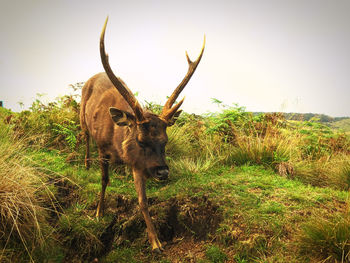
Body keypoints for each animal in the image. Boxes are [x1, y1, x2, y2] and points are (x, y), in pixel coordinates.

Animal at [79, 17, 205, 254]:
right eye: (140, 140)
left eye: (165, 141)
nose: (163, 171)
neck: (117, 144)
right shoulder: (103, 147)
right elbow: (104, 179)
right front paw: (99, 211)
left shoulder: (139, 163)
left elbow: (143, 201)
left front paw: (156, 242)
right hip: (82, 117)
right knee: (84, 138)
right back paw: (86, 164)